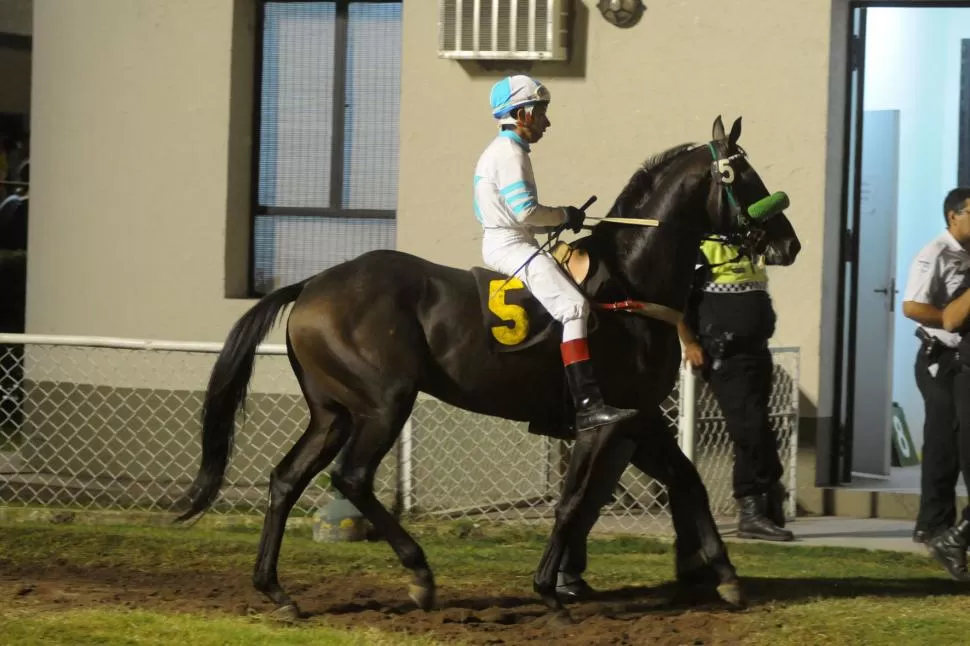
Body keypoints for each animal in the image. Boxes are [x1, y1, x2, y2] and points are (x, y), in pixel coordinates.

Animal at [178, 116, 796, 624]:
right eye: (743, 176)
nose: (787, 243)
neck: (628, 287)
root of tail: (311, 285)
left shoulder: (639, 421)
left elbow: (686, 480)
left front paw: (725, 576)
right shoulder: (605, 424)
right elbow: (573, 501)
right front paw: (549, 589)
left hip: (332, 412)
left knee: (287, 479)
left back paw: (276, 589)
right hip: (384, 403)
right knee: (351, 477)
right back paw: (420, 574)